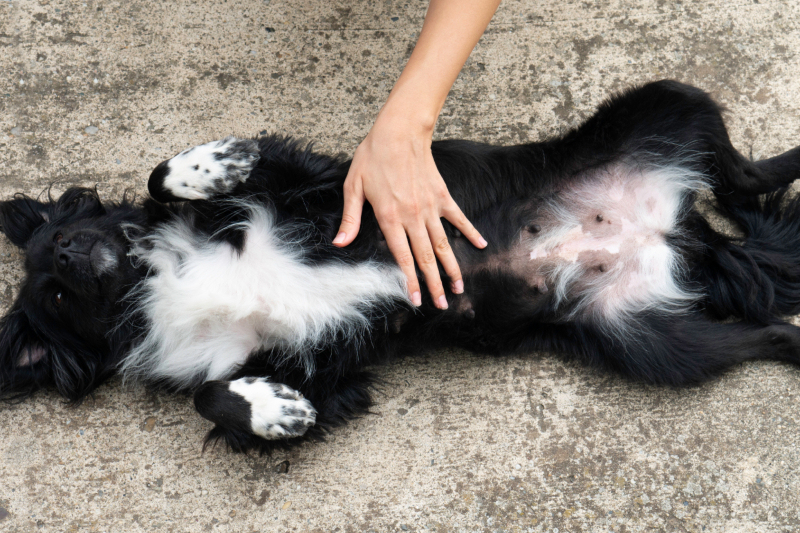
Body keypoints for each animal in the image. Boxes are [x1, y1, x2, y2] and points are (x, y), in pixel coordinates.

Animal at [1, 80, 800, 454]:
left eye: (65, 233)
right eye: (53, 291)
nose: (65, 251)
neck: (154, 280)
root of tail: (669, 233)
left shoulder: (316, 185)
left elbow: (165, 173)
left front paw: (214, 161)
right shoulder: (321, 370)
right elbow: (211, 395)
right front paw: (275, 412)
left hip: (669, 103)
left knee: (745, 171)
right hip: (654, 344)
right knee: (765, 333)